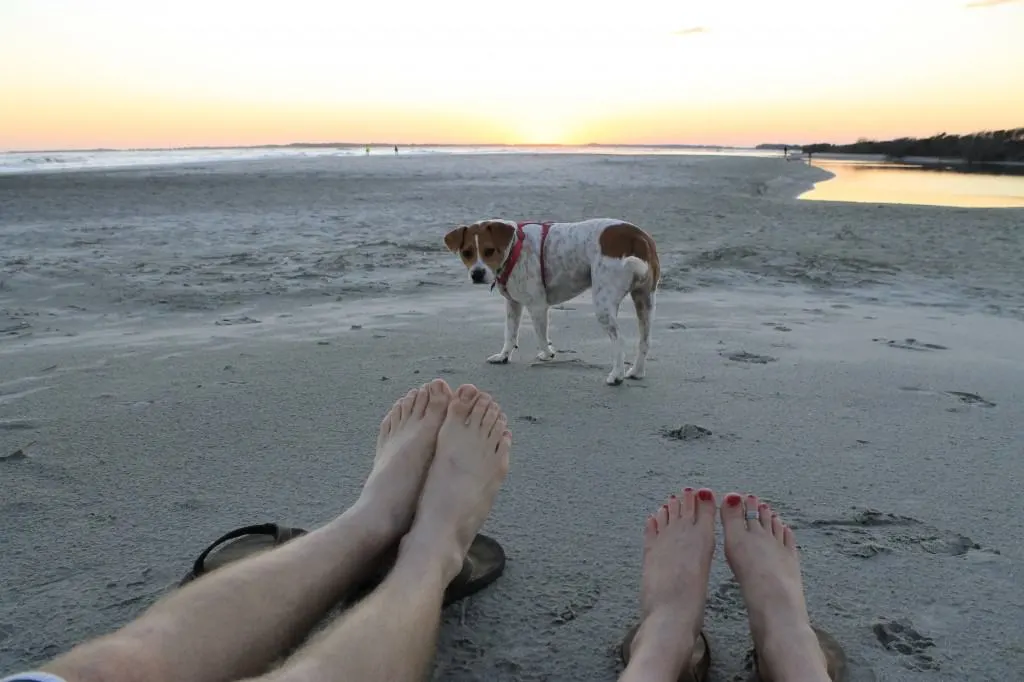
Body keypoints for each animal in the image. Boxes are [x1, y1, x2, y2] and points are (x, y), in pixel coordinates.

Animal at [444, 220, 659, 385]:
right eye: (466, 252)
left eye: (489, 251)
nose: (477, 274)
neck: (514, 248)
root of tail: (638, 236)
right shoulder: (513, 304)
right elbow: (510, 334)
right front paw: (504, 356)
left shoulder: (537, 306)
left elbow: (540, 335)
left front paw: (548, 354)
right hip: (644, 301)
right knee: (645, 340)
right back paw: (637, 372)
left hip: (603, 305)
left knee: (619, 340)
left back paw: (617, 375)